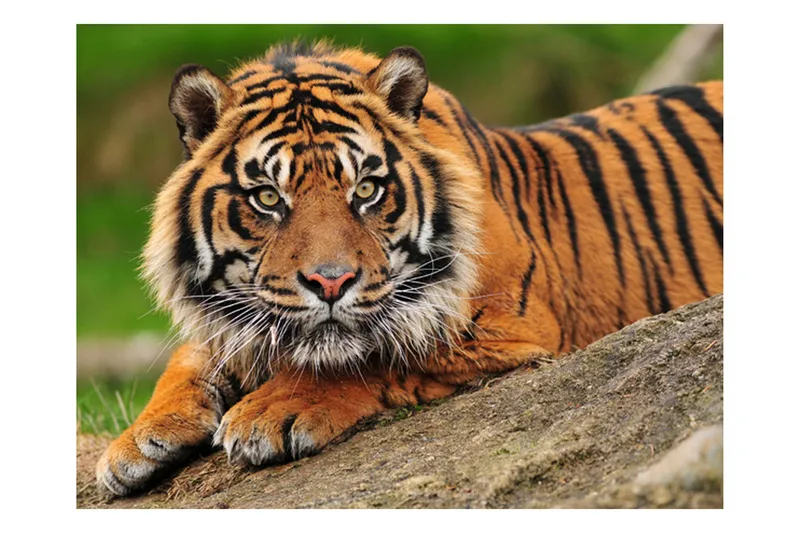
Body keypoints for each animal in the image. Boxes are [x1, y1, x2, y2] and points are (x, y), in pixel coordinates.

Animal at [95, 41, 723, 496]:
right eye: (269, 198)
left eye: (366, 190)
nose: (330, 282)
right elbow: (192, 357)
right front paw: (136, 443)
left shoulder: (508, 328)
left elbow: (371, 354)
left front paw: (269, 412)